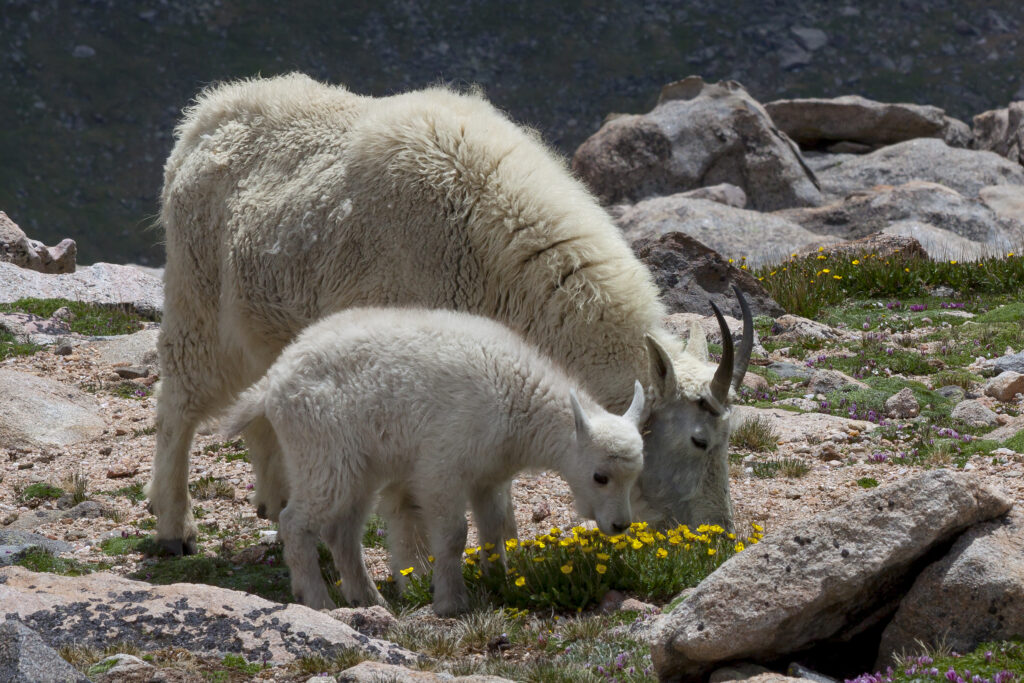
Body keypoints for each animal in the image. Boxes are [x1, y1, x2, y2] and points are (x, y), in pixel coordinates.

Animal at [153, 73, 761, 557]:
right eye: (699, 441)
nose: (718, 535)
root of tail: (200, 119)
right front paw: (417, 567)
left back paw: (275, 509)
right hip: (198, 297)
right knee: (179, 399)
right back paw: (175, 527)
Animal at [221, 307, 643, 618]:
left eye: (634, 477)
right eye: (600, 476)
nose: (620, 525)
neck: (517, 403)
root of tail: (272, 383)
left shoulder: (489, 477)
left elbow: (493, 531)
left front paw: (499, 582)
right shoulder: (442, 466)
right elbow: (455, 534)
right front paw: (451, 601)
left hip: (356, 467)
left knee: (342, 532)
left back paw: (368, 598)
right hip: (322, 453)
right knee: (295, 522)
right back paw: (319, 600)